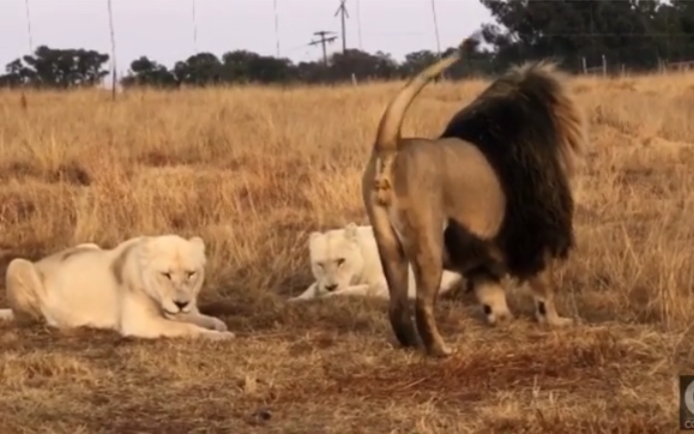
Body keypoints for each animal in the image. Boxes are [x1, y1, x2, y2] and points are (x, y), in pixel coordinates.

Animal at [0, 234, 235, 340]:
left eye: (190, 274)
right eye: (166, 275)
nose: (181, 303)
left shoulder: (182, 313)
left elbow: (206, 319)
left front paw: (219, 326)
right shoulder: (141, 323)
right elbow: (186, 329)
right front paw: (220, 336)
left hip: (88, 245)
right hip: (17, 264)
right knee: (30, 318)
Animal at [288, 224, 462, 302]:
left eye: (341, 261)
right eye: (320, 264)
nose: (331, 286)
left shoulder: (386, 287)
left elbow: (357, 290)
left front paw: (326, 295)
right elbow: (313, 286)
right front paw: (297, 299)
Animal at [364, 38, 588, 356]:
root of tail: (389, 146)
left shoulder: (480, 248)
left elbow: (489, 287)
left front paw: (500, 316)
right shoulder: (534, 233)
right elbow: (544, 287)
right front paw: (556, 321)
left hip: (388, 244)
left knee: (397, 305)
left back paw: (411, 344)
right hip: (427, 241)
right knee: (422, 305)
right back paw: (440, 349)